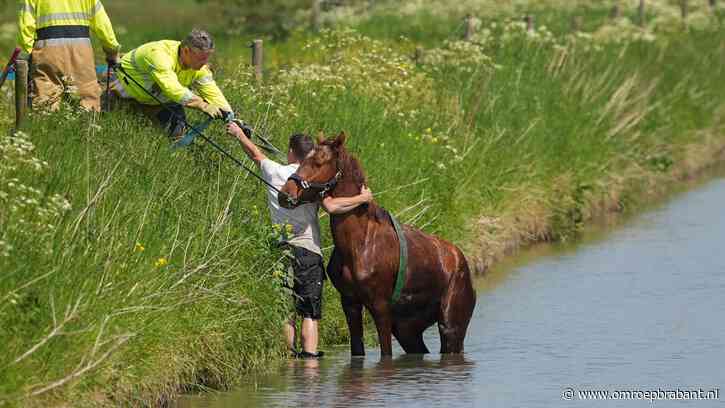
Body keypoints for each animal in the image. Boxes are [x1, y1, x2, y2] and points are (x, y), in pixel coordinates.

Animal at [279, 132, 476, 356]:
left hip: (451, 326)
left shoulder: (380, 307)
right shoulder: (350, 304)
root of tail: (460, 259)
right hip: (408, 330)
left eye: (319, 162)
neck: (358, 244)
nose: (285, 194)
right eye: (303, 160)